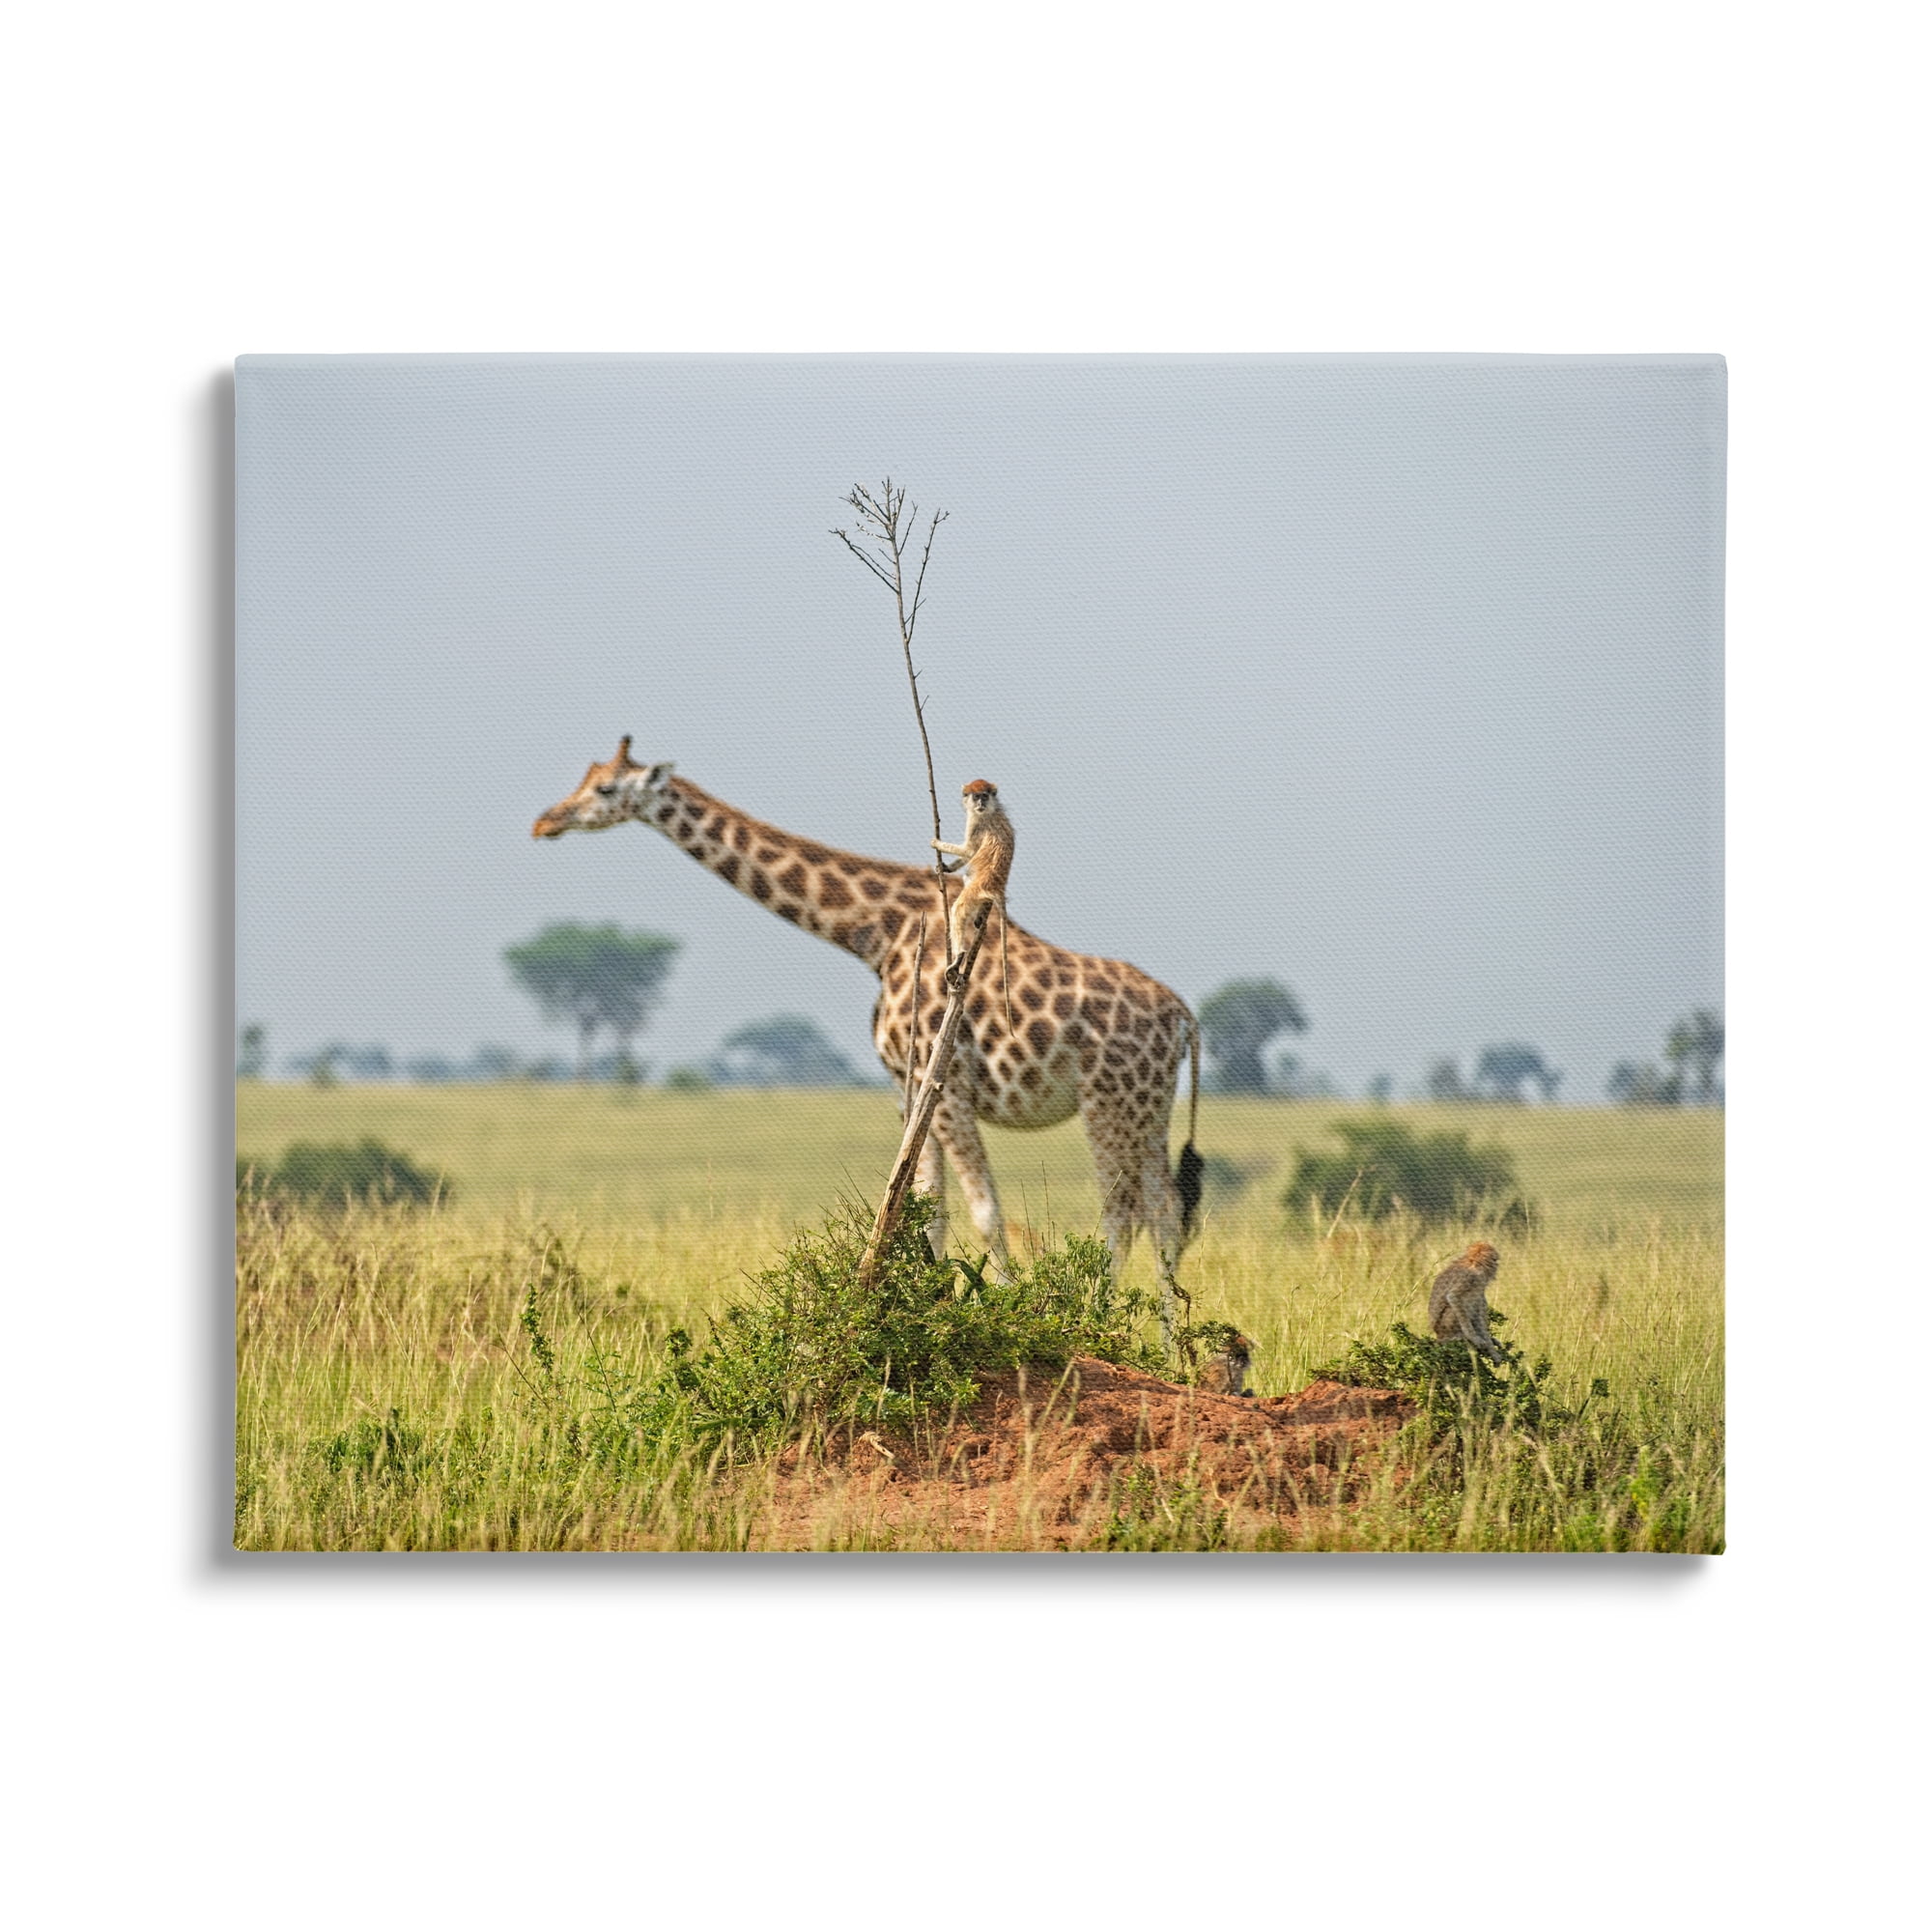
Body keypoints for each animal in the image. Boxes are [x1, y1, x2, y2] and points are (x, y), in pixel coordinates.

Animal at [931, 777, 1016, 1033]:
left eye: (984, 796)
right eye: (976, 796)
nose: (980, 803)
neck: (991, 810)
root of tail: (996, 886)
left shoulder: (977, 824)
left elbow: (970, 850)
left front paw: (937, 843)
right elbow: (968, 855)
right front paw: (945, 868)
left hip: (976, 889)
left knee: (959, 909)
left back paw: (959, 956)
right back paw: (979, 918)